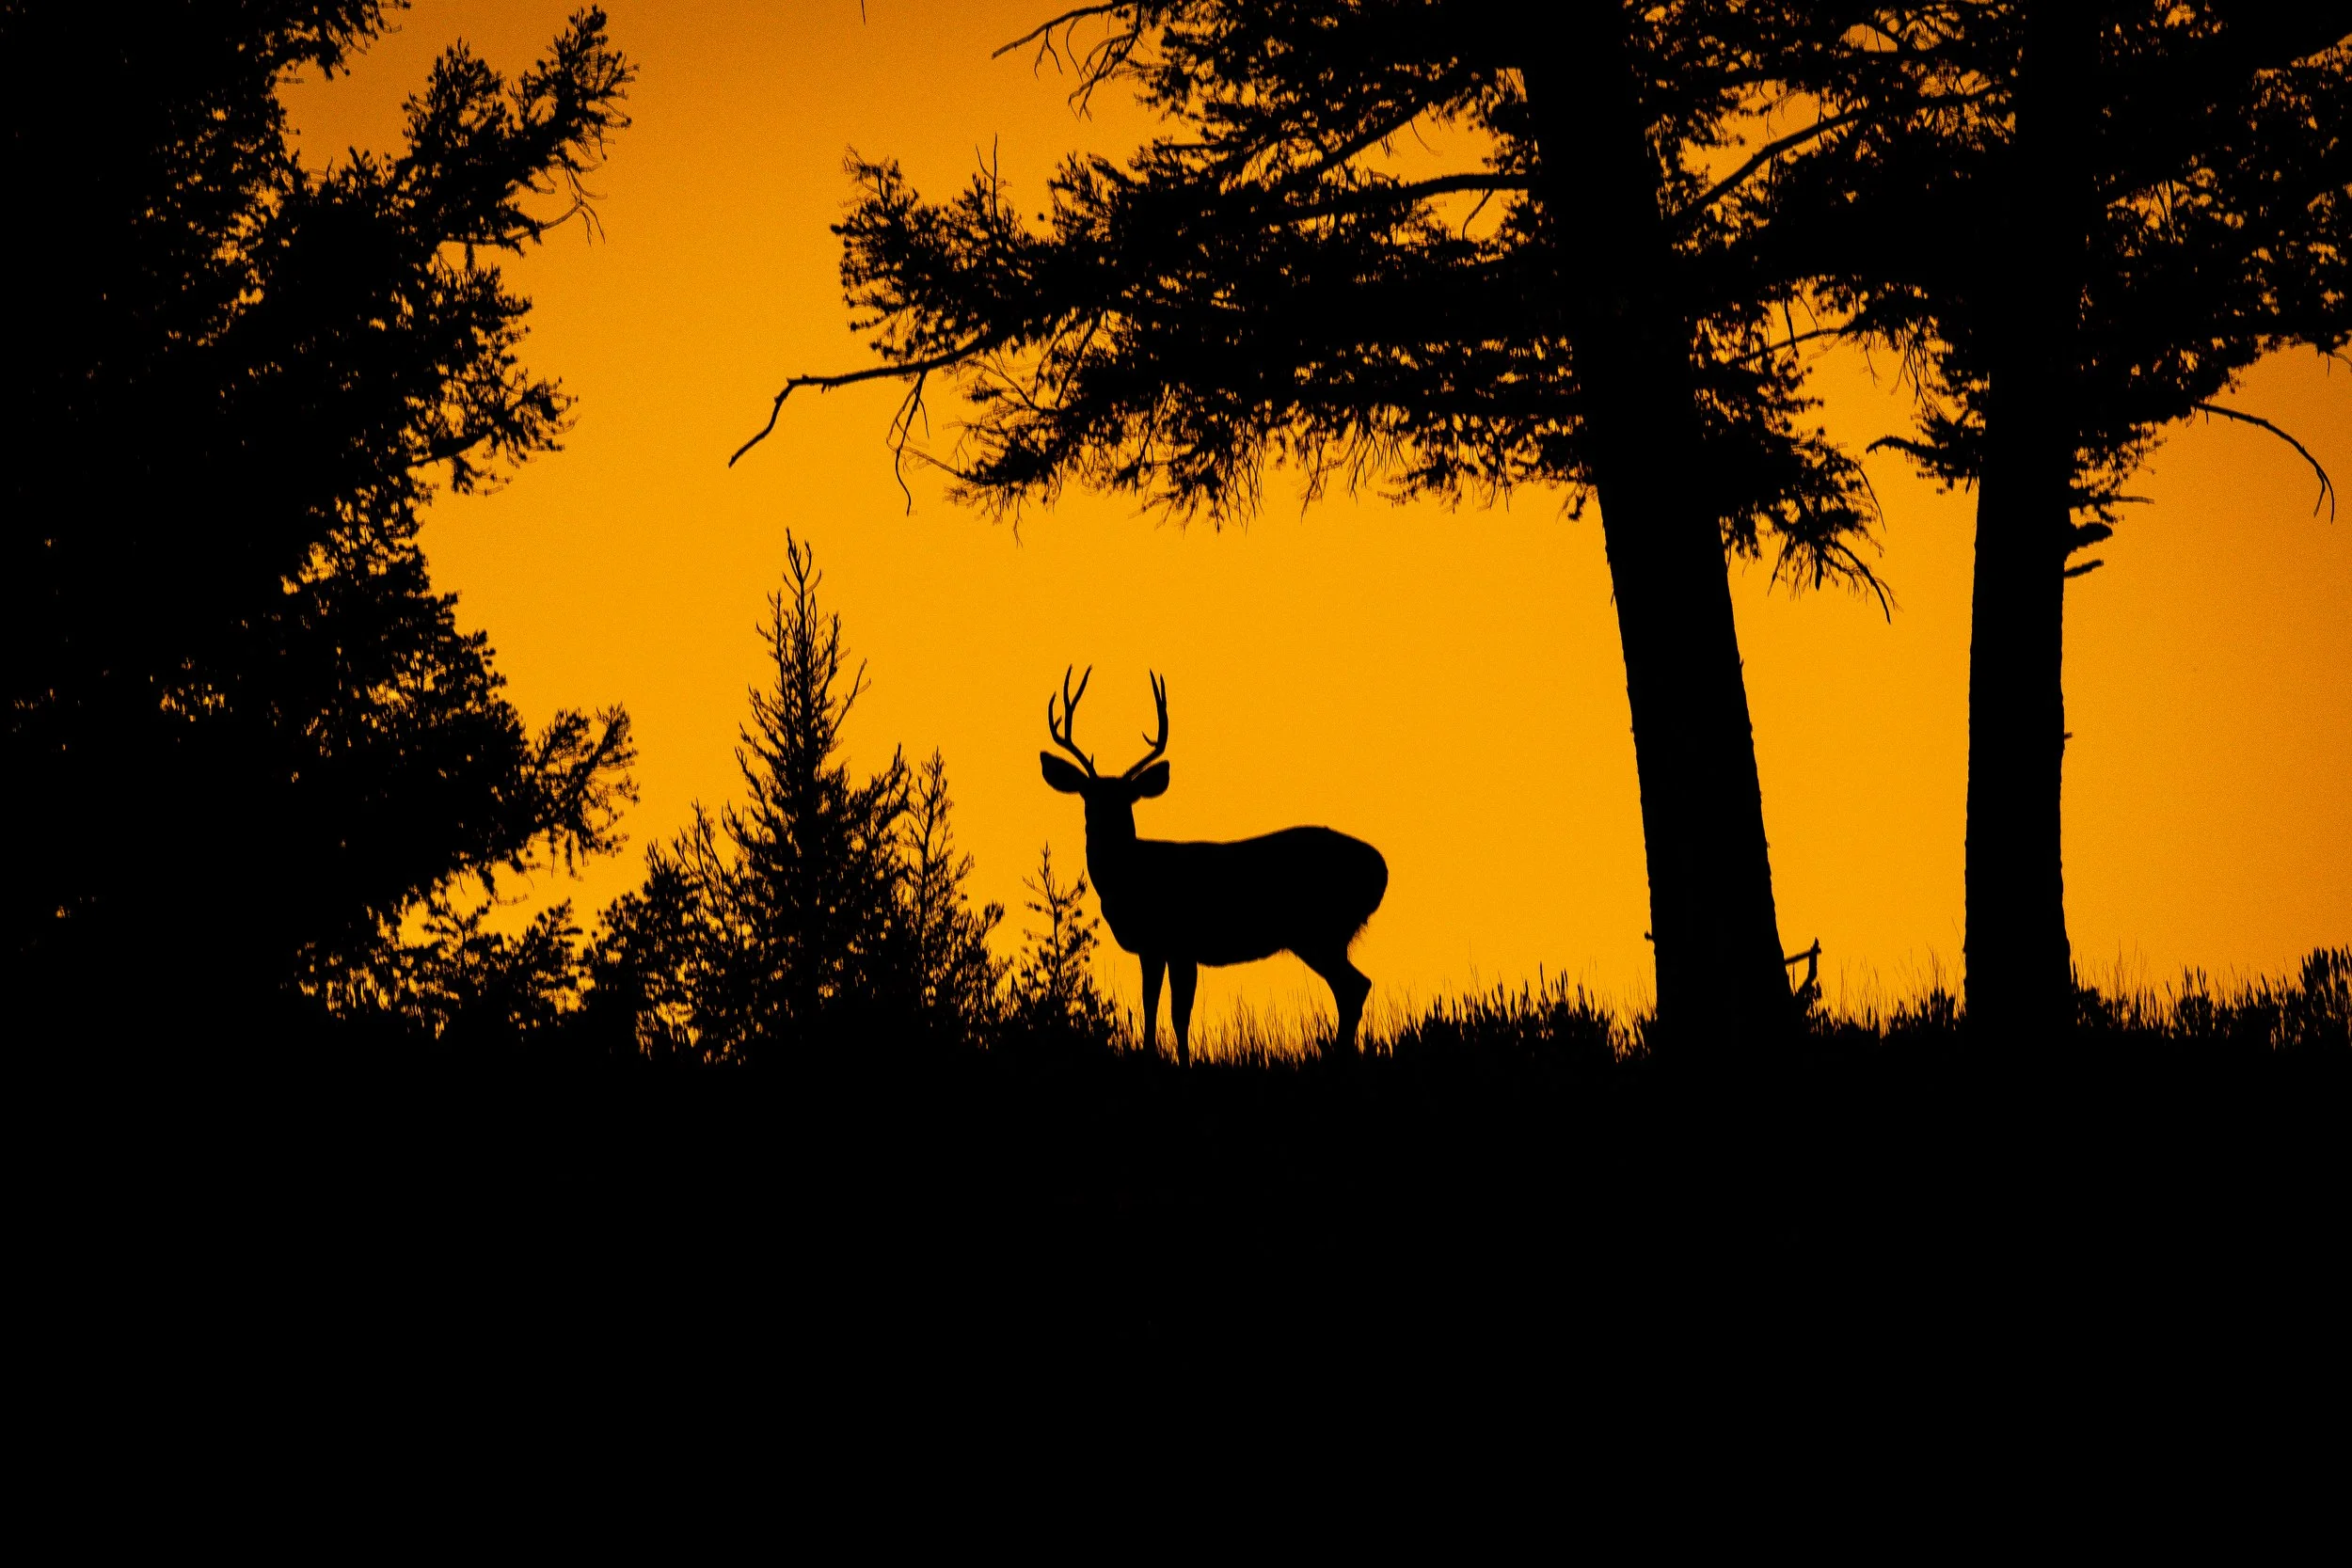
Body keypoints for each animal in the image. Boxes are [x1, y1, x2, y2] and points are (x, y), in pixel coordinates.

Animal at [1040, 667, 1388, 1065]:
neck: (1131, 875)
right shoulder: (1154, 947)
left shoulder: (1178, 942)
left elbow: (1177, 1013)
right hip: (1327, 934)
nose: (1104, 824)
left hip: (1319, 930)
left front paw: (1180, 1062)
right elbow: (1151, 1005)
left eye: (1127, 799)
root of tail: (1381, 868)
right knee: (1353, 987)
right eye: (1089, 795)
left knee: (1354, 986)